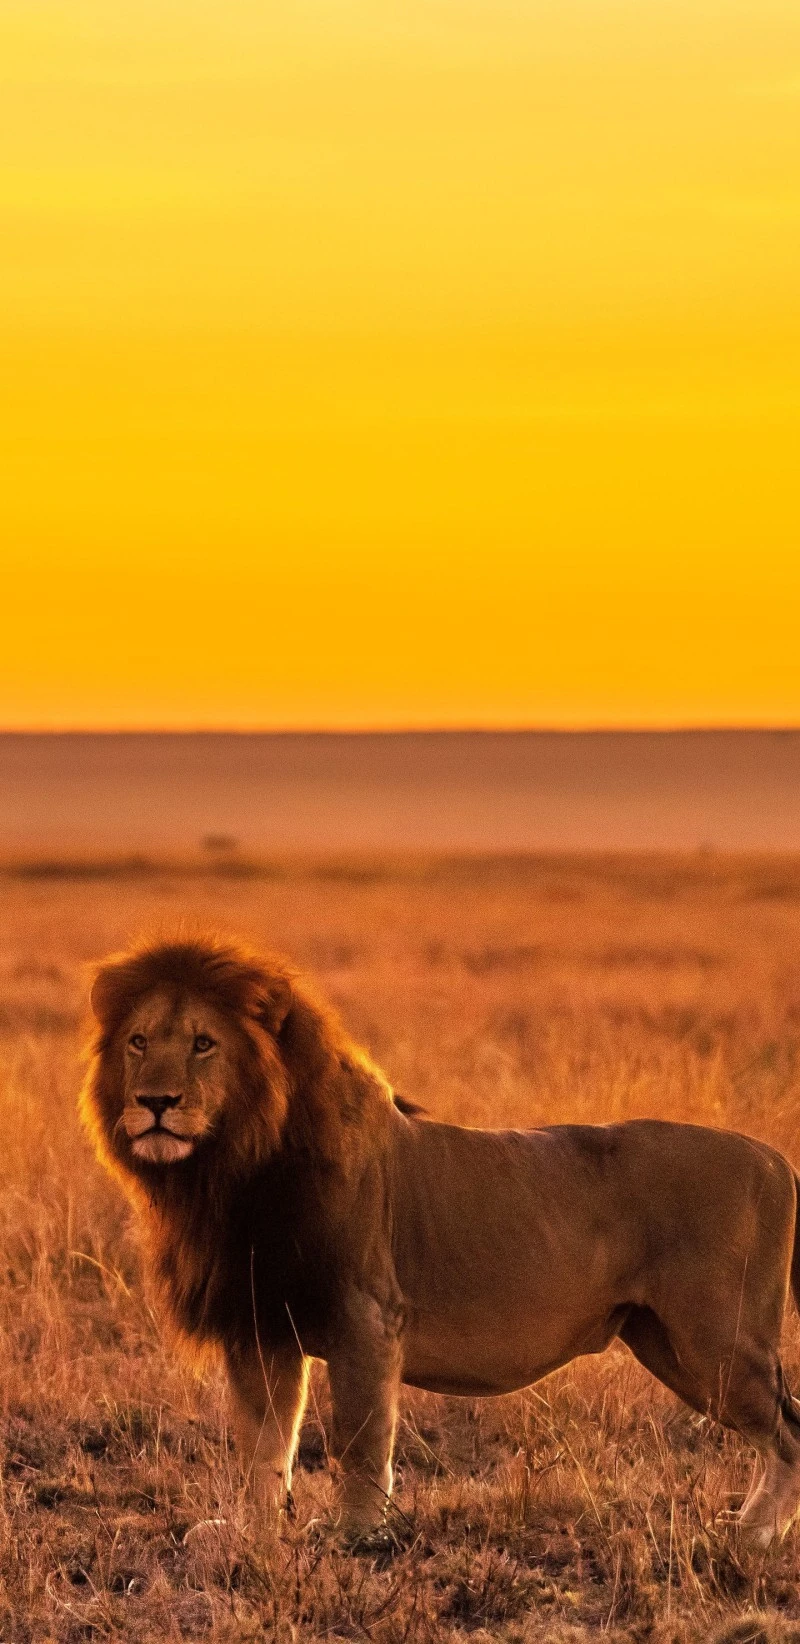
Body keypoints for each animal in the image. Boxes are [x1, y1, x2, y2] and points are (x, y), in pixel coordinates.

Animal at [79, 934, 800, 1548]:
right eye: (138, 1041)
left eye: (204, 1044)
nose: (155, 1102)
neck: (228, 1171)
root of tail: (774, 1159)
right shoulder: (260, 1327)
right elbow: (264, 1443)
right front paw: (252, 1534)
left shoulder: (365, 1318)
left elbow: (360, 1439)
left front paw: (353, 1534)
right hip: (666, 1343)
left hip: (717, 1339)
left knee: (789, 1432)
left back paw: (754, 1536)